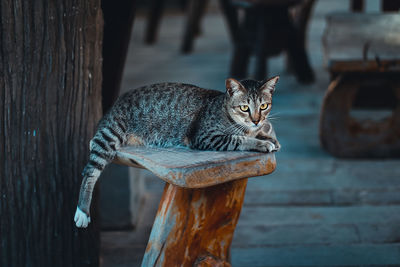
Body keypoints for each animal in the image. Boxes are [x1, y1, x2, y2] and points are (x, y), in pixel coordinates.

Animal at [76, 77, 282, 228]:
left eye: (264, 106)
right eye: (244, 108)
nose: (256, 120)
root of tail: (116, 102)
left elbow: (259, 131)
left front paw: (268, 137)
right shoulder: (206, 137)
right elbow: (239, 139)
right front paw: (262, 143)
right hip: (111, 133)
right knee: (90, 171)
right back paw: (82, 212)